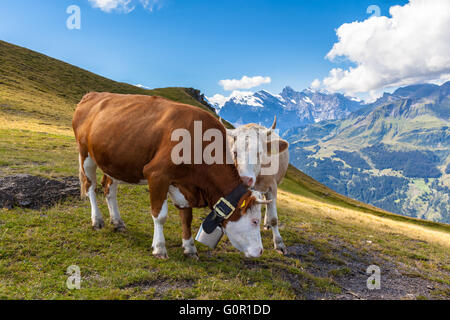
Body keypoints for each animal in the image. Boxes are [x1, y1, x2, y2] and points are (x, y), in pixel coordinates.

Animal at [73, 92, 270, 258]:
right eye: (254, 221)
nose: (260, 251)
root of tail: (93, 94)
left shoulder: (183, 184)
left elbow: (186, 217)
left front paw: (190, 248)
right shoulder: (157, 174)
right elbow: (160, 215)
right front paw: (159, 248)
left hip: (112, 161)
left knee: (109, 189)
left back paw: (117, 222)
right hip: (85, 154)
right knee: (90, 186)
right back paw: (97, 220)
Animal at [223, 118, 290, 255]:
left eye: (259, 153)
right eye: (235, 152)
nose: (244, 179)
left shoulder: (272, 187)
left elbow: (274, 217)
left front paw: (279, 243)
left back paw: (267, 223)